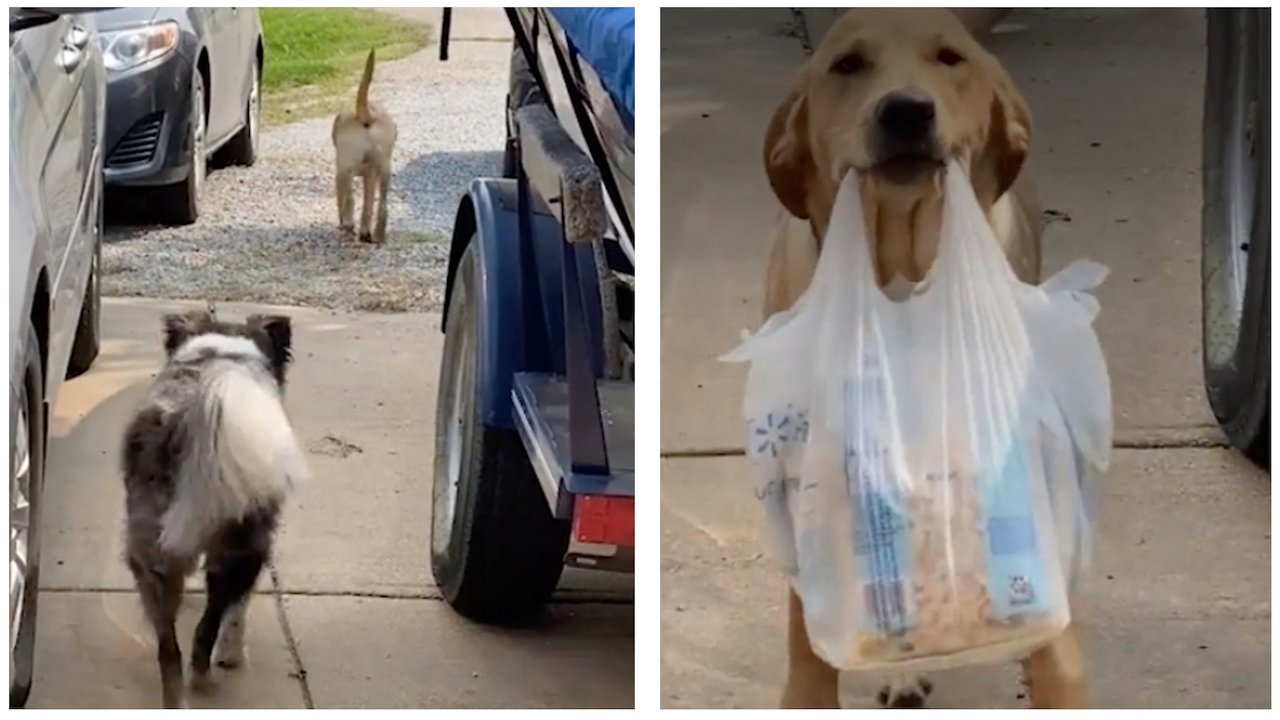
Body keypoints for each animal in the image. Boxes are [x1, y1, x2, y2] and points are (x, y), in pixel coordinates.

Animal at [121, 308, 307, 707]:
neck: (225, 347)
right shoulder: (256, 543)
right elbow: (238, 610)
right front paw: (232, 654)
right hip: (240, 541)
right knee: (207, 627)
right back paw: (205, 678)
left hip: (151, 547)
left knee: (168, 650)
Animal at [330, 49, 394, 243]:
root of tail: (367, 114)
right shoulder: (371, 176)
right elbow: (368, 204)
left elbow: (343, 199)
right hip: (385, 169)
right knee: (382, 206)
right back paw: (377, 235)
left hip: (344, 166)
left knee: (349, 199)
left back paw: (348, 224)